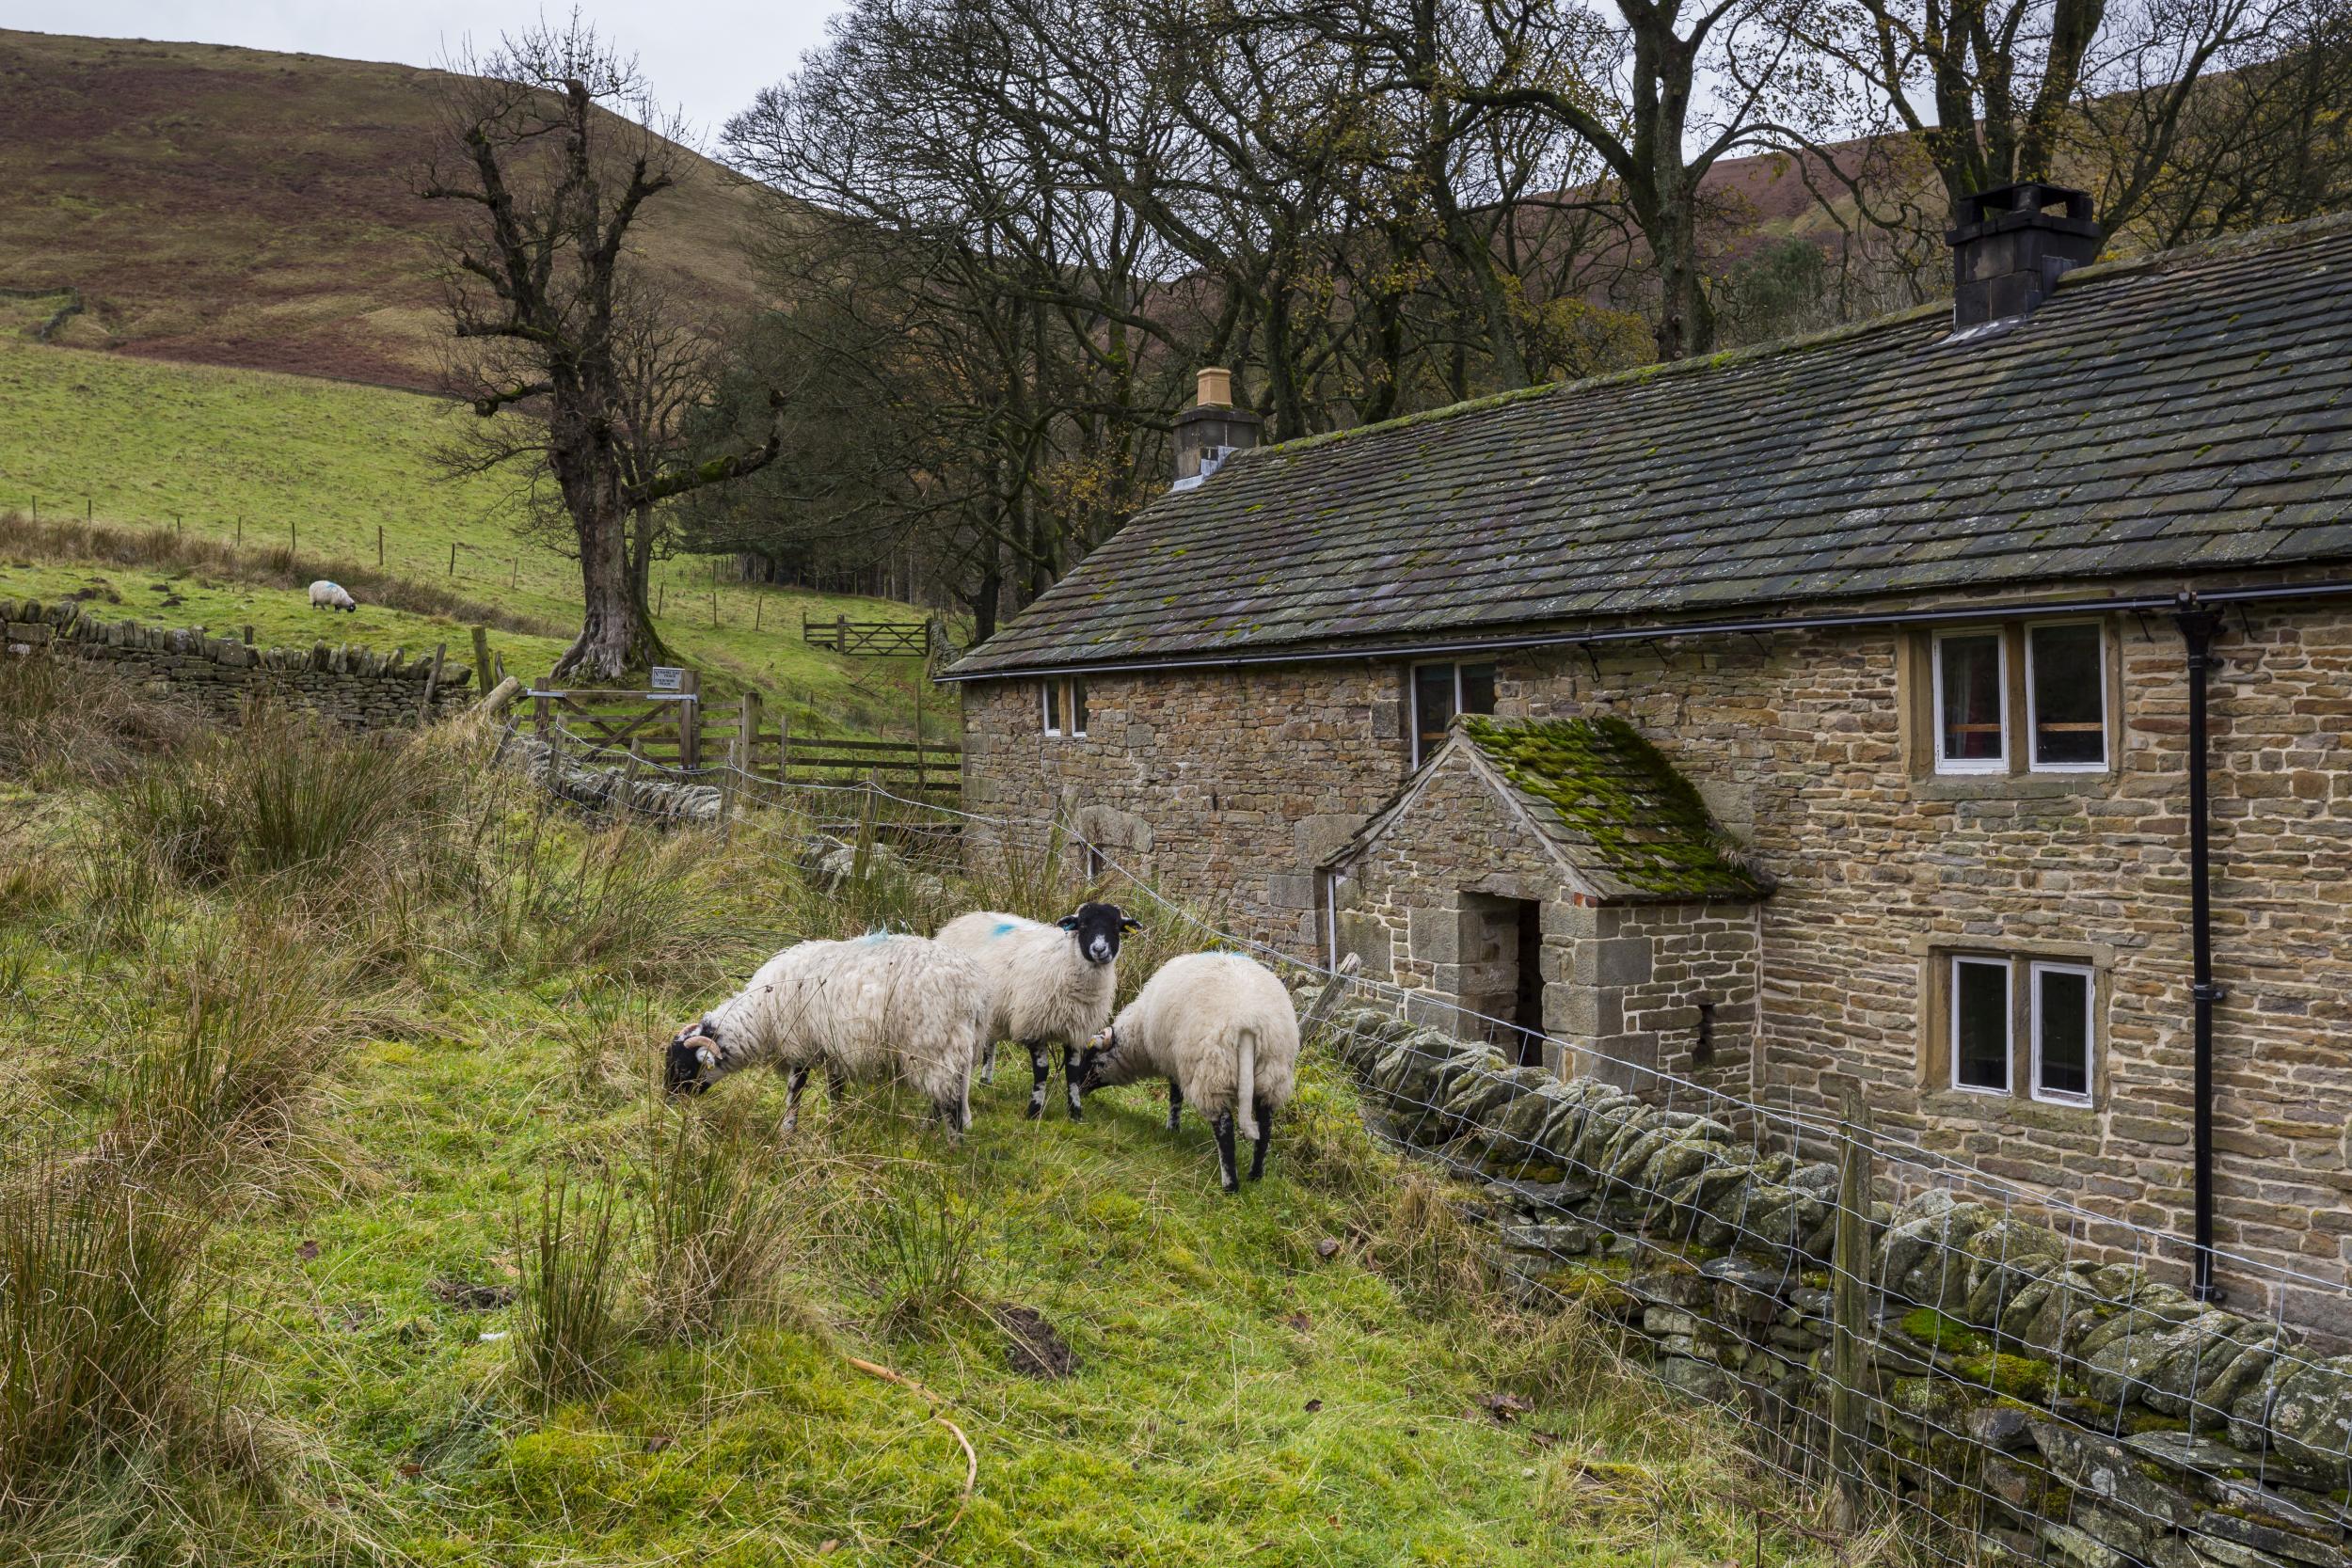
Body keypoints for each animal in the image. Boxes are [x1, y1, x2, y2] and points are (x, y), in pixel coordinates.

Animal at [668, 930, 988, 1142]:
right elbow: (836, 1091)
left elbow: (794, 1092)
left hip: (933, 1044)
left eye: (683, 1068)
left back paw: (951, 1149)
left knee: (951, 1105)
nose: (667, 1104)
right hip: (948, 1049)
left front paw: (788, 1131)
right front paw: (837, 1122)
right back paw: (928, 1130)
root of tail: (973, 990)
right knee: (944, 1096)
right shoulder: (833, 1048)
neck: (762, 1014)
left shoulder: (799, 1044)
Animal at [931, 902, 1134, 1123]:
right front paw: (1034, 1111)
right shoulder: (1033, 1027)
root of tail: (966, 917)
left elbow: (1072, 1073)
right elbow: (1042, 1070)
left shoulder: (1075, 1031)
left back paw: (986, 1080)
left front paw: (1076, 1113)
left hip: (991, 1011)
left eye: (1115, 926)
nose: (1099, 950)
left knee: (990, 1043)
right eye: (1083, 925)